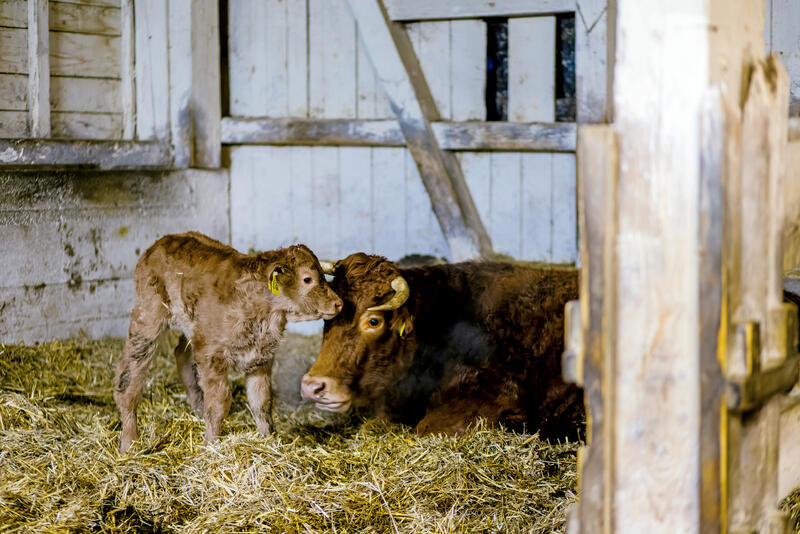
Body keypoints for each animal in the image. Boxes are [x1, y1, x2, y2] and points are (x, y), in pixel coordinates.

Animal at [111, 232, 342, 454]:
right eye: (307, 279)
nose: (339, 303)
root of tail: (161, 242)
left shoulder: (261, 358)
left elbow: (261, 402)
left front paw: (268, 440)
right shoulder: (211, 356)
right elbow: (219, 404)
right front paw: (210, 446)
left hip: (191, 327)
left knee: (181, 353)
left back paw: (197, 409)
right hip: (148, 317)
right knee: (129, 376)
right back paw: (128, 441)